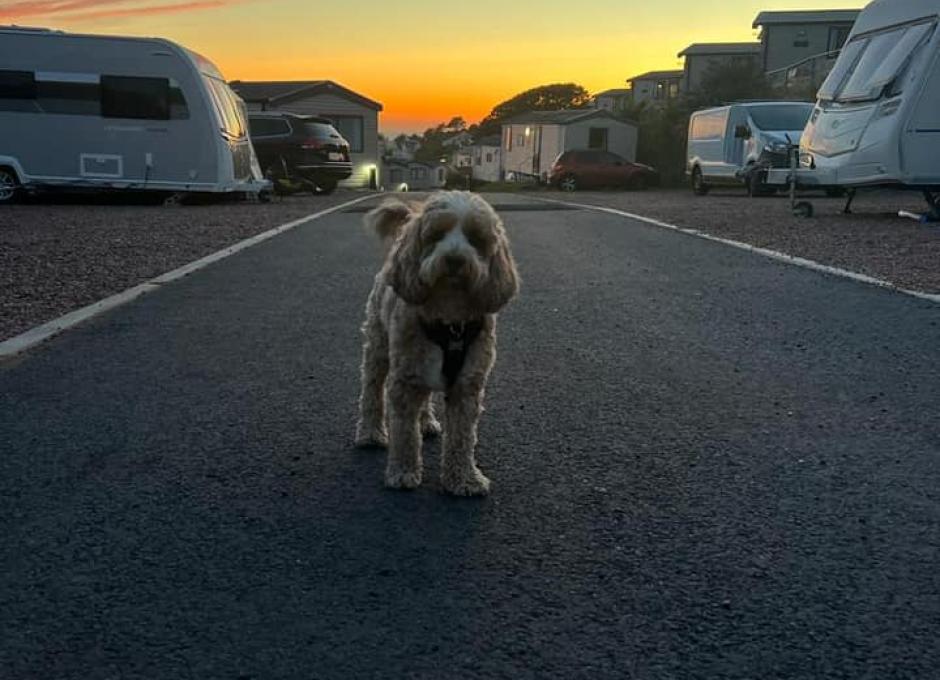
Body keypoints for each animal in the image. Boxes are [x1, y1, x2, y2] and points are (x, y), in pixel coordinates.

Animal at [352, 190, 516, 494]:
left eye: (476, 237)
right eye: (436, 235)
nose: (454, 259)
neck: (450, 318)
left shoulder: (467, 385)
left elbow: (462, 437)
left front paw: (464, 478)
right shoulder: (404, 380)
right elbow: (404, 433)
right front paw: (403, 472)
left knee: (425, 397)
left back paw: (427, 422)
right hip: (378, 345)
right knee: (371, 389)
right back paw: (370, 433)